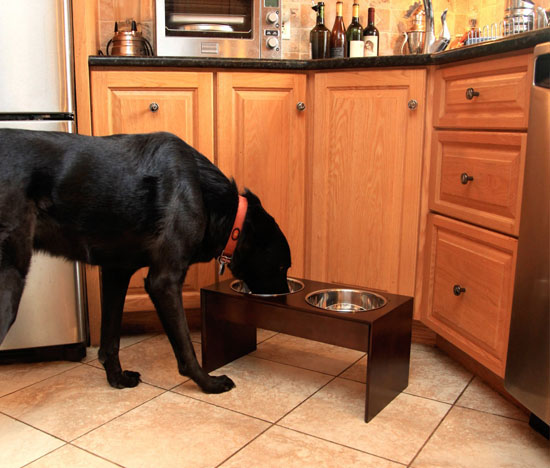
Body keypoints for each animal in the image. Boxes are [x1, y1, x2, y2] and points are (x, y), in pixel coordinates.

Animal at [0, 130, 294, 394]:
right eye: (281, 267)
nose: (284, 297)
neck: (205, 193)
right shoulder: (164, 281)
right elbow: (186, 347)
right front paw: (209, 384)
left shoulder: (116, 273)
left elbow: (110, 341)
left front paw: (117, 379)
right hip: (9, 281)